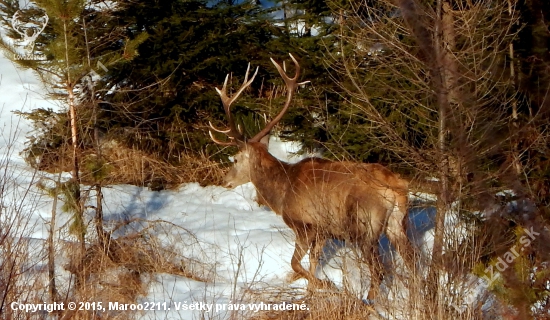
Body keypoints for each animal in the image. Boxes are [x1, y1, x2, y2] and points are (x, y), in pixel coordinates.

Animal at [210, 53, 414, 302]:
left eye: (235, 159)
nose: (224, 180)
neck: (282, 191)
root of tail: (395, 187)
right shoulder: (323, 230)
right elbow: (313, 261)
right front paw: (311, 292)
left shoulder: (305, 224)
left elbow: (296, 264)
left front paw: (326, 285)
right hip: (397, 223)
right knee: (413, 263)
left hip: (365, 225)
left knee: (379, 270)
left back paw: (368, 300)